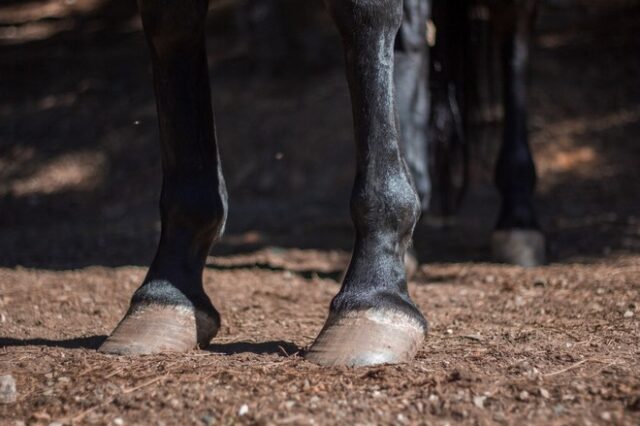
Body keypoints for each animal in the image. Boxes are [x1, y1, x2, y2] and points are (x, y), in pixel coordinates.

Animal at [97, 0, 544, 366]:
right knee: (412, 40)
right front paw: (166, 291)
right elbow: (172, 21)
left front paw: (373, 295)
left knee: (512, 20)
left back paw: (518, 215)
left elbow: (364, 12)